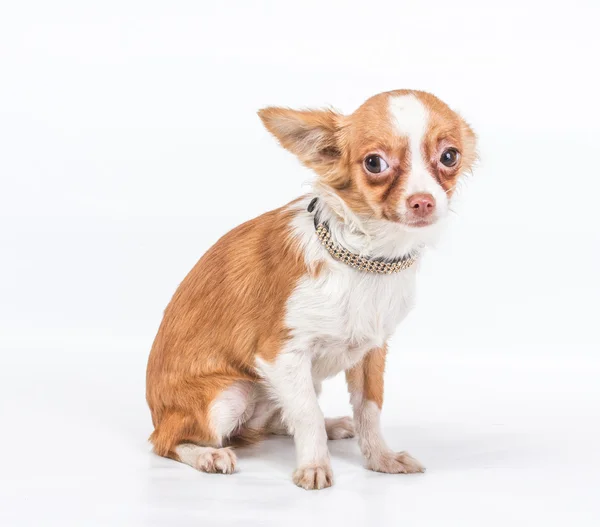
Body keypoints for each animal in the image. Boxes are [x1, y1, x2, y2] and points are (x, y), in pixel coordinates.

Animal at [144, 88, 474, 488]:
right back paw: (208, 454)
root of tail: (156, 413)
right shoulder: (281, 353)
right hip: (229, 395)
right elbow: (306, 415)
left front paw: (381, 458)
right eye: (374, 163)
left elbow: (369, 410)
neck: (367, 258)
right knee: (166, 441)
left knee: (273, 422)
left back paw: (332, 426)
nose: (423, 201)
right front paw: (314, 466)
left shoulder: (372, 352)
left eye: (449, 156)